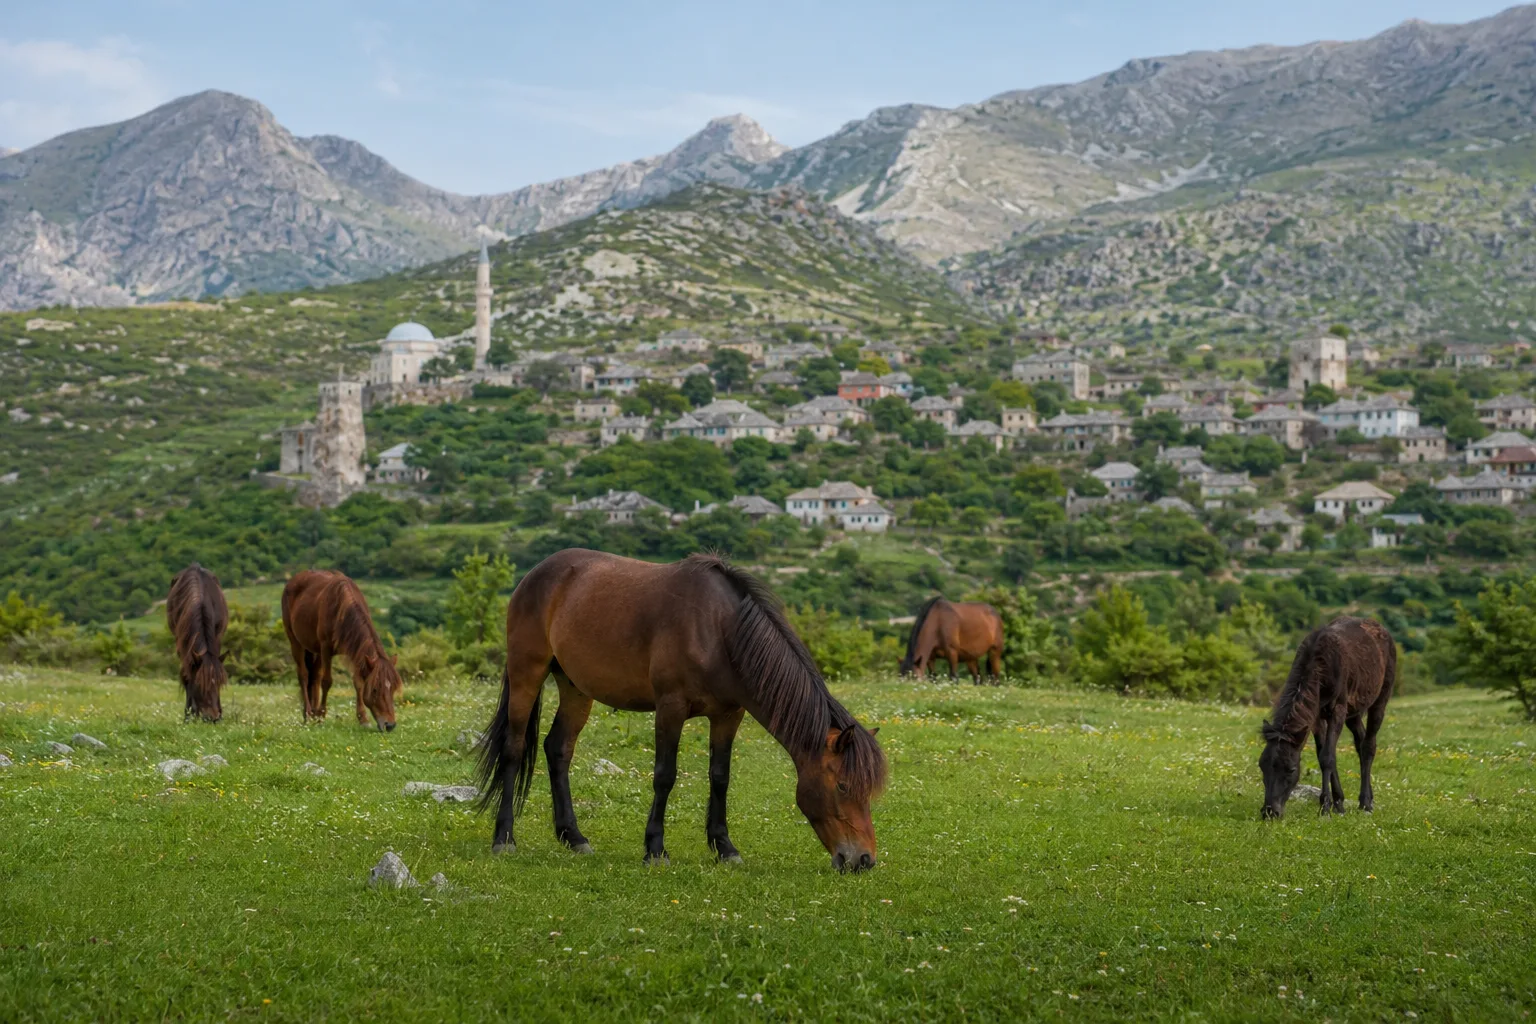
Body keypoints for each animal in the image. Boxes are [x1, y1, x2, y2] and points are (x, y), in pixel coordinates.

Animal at [166, 563, 229, 722]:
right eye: (199, 684)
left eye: (220, 683)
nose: (212, 717)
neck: (199, 600)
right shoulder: (182, 643)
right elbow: (186, 674)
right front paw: (188, 715)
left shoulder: (217, 638)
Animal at [280, 570, 402, 731]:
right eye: (375, 689)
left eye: (393, 689)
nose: (390, 725)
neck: (342, 610)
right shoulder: (326, 649)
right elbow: (327, 681)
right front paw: (321, 716)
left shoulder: (356, 651)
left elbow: (358, 683)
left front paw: (363, 719)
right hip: (295, 641)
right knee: (304, 675)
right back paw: (308, 714)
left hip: (315, 650)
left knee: (315, 677)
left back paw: (313, 713)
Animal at [476, 549, 887, 872]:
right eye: (843, 786)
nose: (863, 860)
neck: (719, 630)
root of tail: (536, 573)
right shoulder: (670, 708)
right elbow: (665, 775)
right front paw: (655, 849)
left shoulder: (728, 715)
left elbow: (720, 777)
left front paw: (725, 848)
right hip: (527, 673)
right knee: (514, 749)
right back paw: (504, 838)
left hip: (575, 687)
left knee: (558, 749)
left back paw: (574, 837)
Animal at [1259, 616, 1395, 820]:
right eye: (1262, 765)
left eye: (1291, 769)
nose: (1270, 811)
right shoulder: (1316, 716)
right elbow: (1323, 753)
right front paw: (1338, 804)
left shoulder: (1337, 709)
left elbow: (1327, 756)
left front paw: (1325, 807)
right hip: (1353, 712)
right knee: (1360, 741)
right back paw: (1369, 798)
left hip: (1380, 698)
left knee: (1369, 744)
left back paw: (1365, 803)